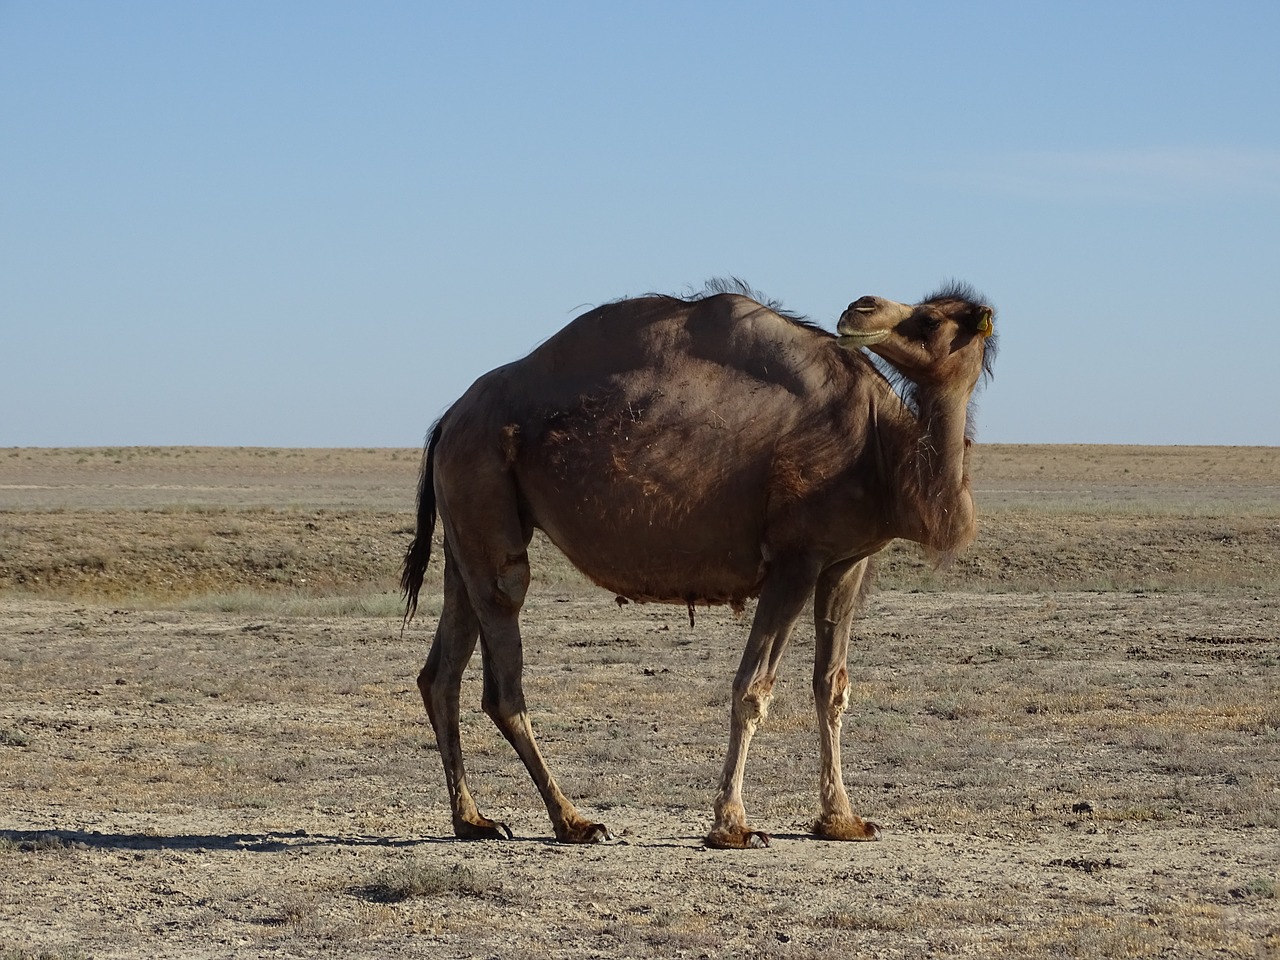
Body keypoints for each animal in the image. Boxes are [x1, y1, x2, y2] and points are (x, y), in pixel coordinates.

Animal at [404, 281, 993, 855]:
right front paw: (733, 827)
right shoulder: (795, 559)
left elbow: (832, 686)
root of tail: (448, 419)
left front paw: (843, 821)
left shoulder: (846, 561)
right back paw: (574, 822)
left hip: (465, 529)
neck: (883, 453)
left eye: (930, 319)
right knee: (503, 664)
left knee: (441, 672)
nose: (859, 307)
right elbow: (753, 688)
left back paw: (474, 821)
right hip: (483, 486)